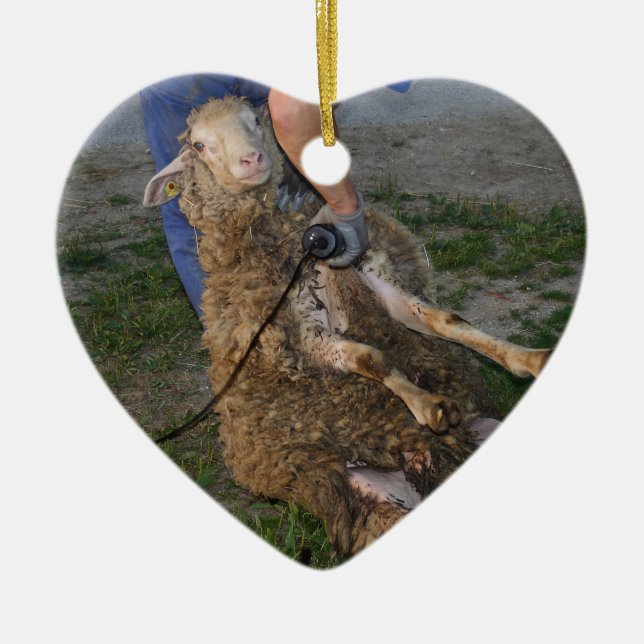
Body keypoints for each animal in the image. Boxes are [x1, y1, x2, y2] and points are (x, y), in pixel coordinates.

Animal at [143, 95, 550, 557]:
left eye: (255, 120)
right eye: (198, 144)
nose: (252, 159)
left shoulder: (379, 283)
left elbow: (447, 322)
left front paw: (528, 359)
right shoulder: (301, 337)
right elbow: (369, 356)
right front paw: (429, 405)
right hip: (372, 503)